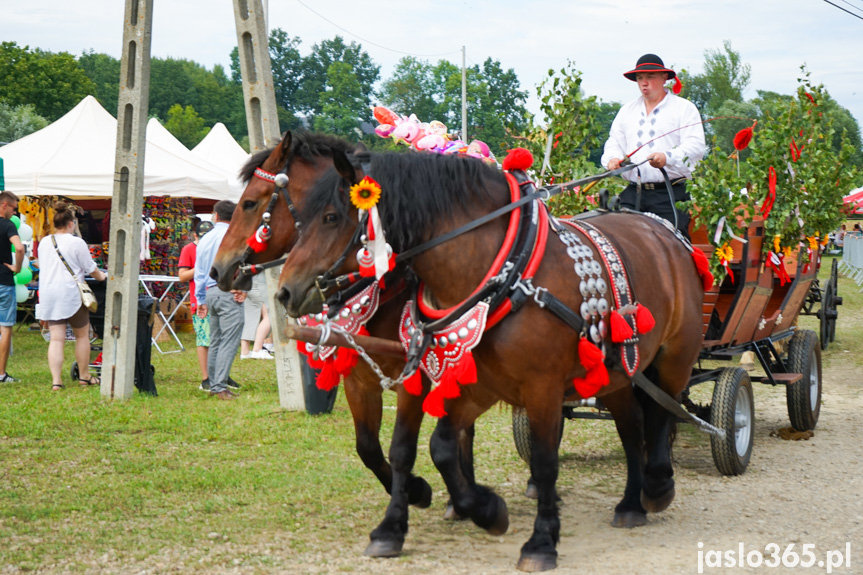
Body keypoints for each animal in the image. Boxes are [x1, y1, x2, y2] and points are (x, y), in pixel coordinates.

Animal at [278, 148, 708, 572]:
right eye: (299, 219)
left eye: (331, 217)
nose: (284, 291)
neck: (506, 274)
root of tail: (665, 231)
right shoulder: (479, 382)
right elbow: (440, 446)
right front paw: (485, 510)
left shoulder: (540, 387)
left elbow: (543, 461)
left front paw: (541, 541)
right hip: (611, 371)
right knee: (631, 424)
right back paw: (632, 503)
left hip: (674, 356)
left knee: (662, 412)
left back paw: (657, 485)